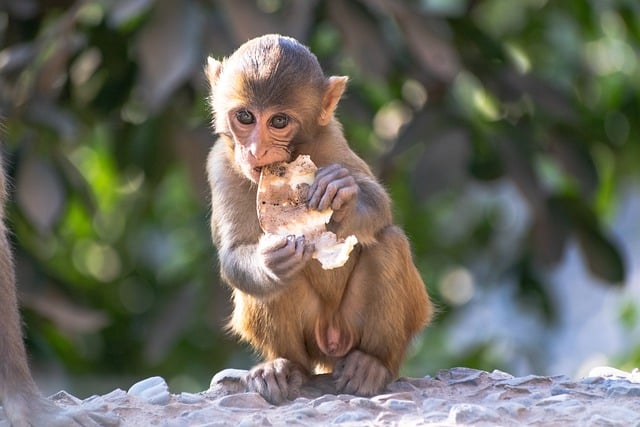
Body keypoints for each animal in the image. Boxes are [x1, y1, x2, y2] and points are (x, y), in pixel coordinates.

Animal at [208, 35, 432, 406]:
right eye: (245, 116)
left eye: (279, 122)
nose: (255, 151)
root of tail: (331, 338)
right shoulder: (221, 166)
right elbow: (235, 252)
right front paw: (269, 261)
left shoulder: (331, 139)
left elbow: (379, 205)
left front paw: (341, 196)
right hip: (311, 335)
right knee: (271, 291)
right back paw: (284, 369)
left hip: (358, 326)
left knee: (389, 243)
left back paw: (372, 365)